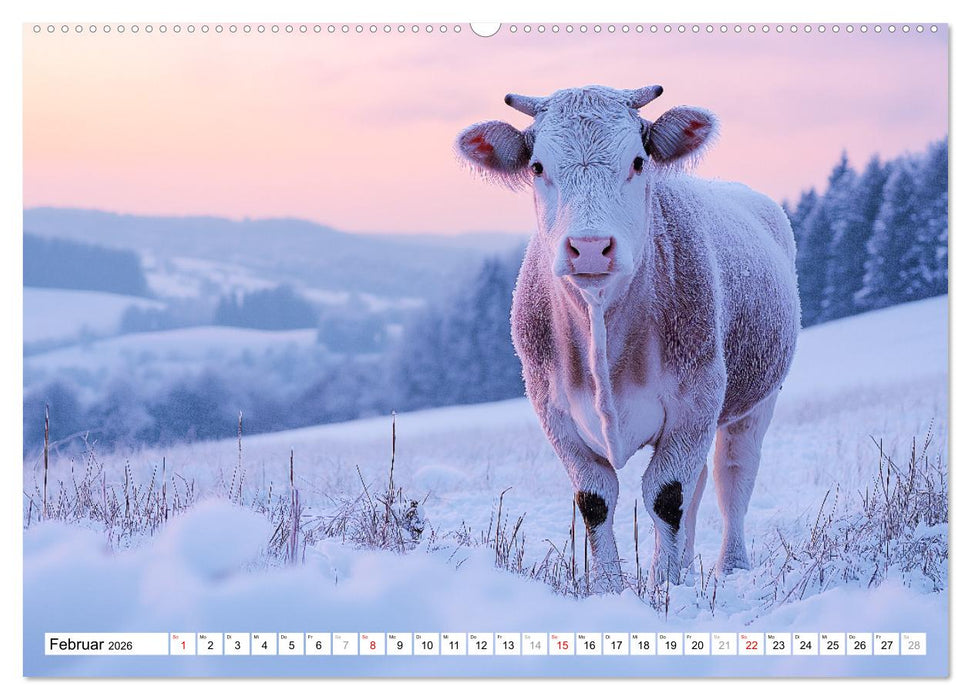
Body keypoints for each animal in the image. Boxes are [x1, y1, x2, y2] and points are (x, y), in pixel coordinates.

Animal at [456, 85, 800, 593]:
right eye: (537, 167)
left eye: (639, 161)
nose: (590, 248)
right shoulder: (553, 410)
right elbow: (596, 499)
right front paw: (611, 588)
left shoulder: (696, 399)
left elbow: (666, 496)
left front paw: (664, 587)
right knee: (700, 483)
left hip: (757, 399)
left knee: (732, 477)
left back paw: (731, 566)